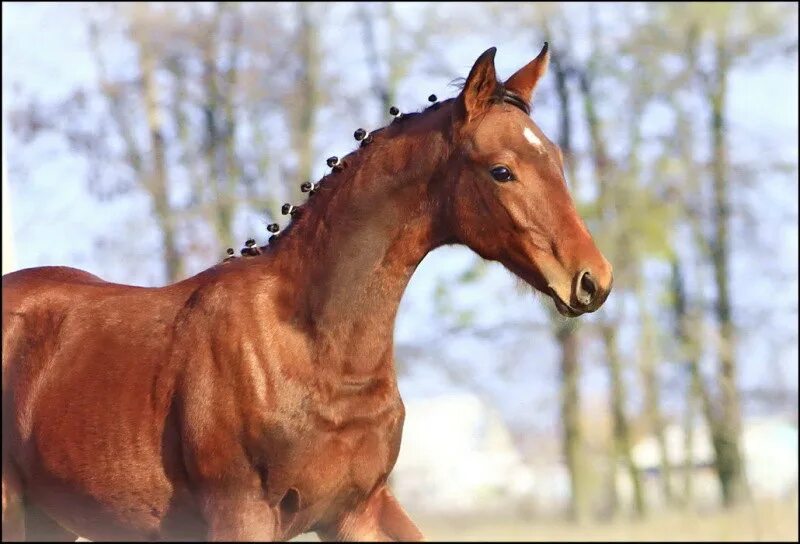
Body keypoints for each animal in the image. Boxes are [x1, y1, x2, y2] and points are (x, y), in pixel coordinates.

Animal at [1, 44, 612, 540]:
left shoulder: (359, 512)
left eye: (556, 159)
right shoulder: (243, 518)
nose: (592, 281)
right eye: (501, 171)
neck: (316, 352)